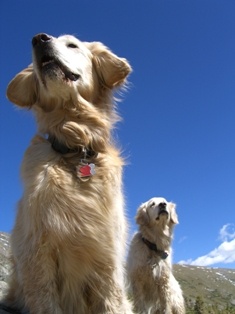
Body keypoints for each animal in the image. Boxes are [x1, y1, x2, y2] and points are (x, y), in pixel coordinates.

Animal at [5, 33, 132, 312]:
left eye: (72, 45)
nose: (39, 38)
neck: (75, 148)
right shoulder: (37, 253)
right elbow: (45, 301)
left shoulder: (107, 256)